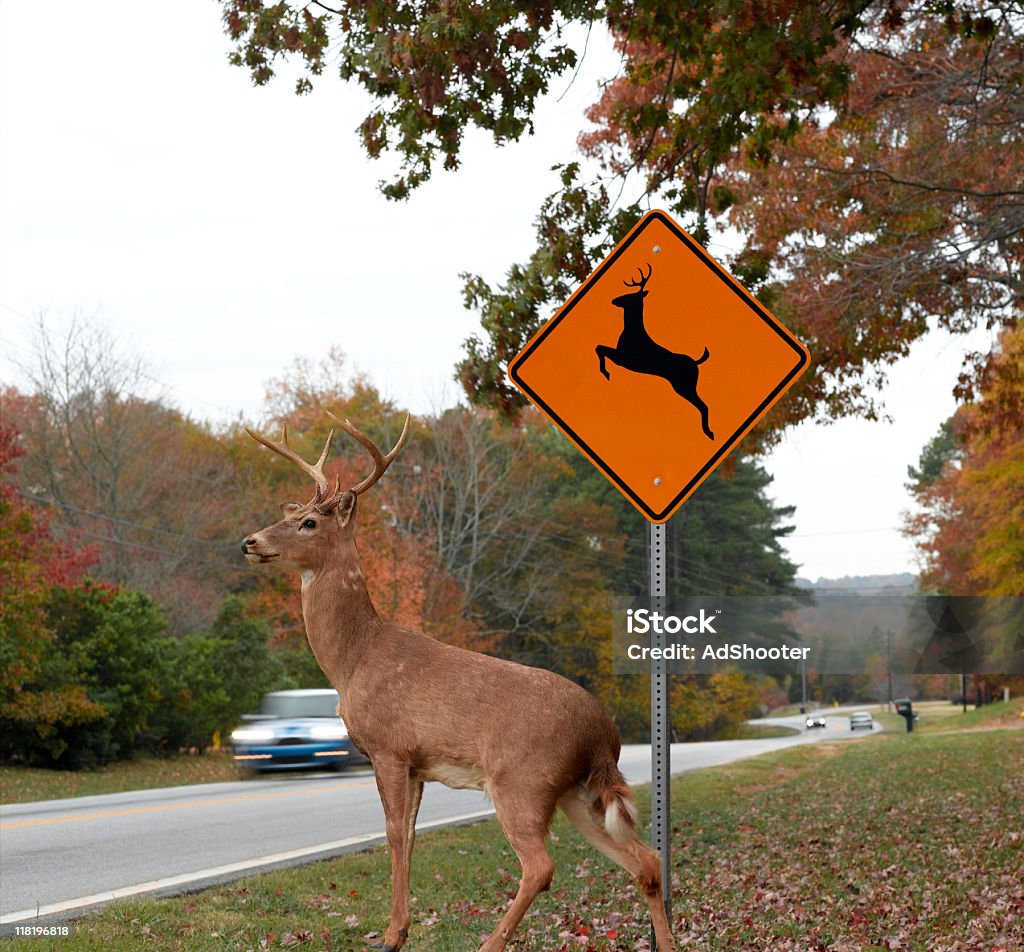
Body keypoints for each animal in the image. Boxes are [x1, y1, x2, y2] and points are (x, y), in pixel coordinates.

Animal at [237, 415, 671, 949]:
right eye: (294, 513)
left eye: (309, 523)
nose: (250, 541)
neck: (354, 659)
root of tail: (603, 733)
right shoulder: (418, 765)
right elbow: (410, 835)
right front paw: (401, 928)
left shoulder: (389, 748)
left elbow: (392, 832)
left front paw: (391, 934)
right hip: (578, 791)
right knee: (646, 861)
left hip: (522, 779)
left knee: (541, 866)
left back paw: (490, 941)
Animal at [598, 264, 716, 442]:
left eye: (631, 295)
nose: (614, 300)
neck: (632, 331)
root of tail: (696, 363)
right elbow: (599, 347)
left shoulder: (624, 359)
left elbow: (599, 348)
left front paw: (606, 373)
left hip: (684, 385)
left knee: (704, 405)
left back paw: (709, 433)